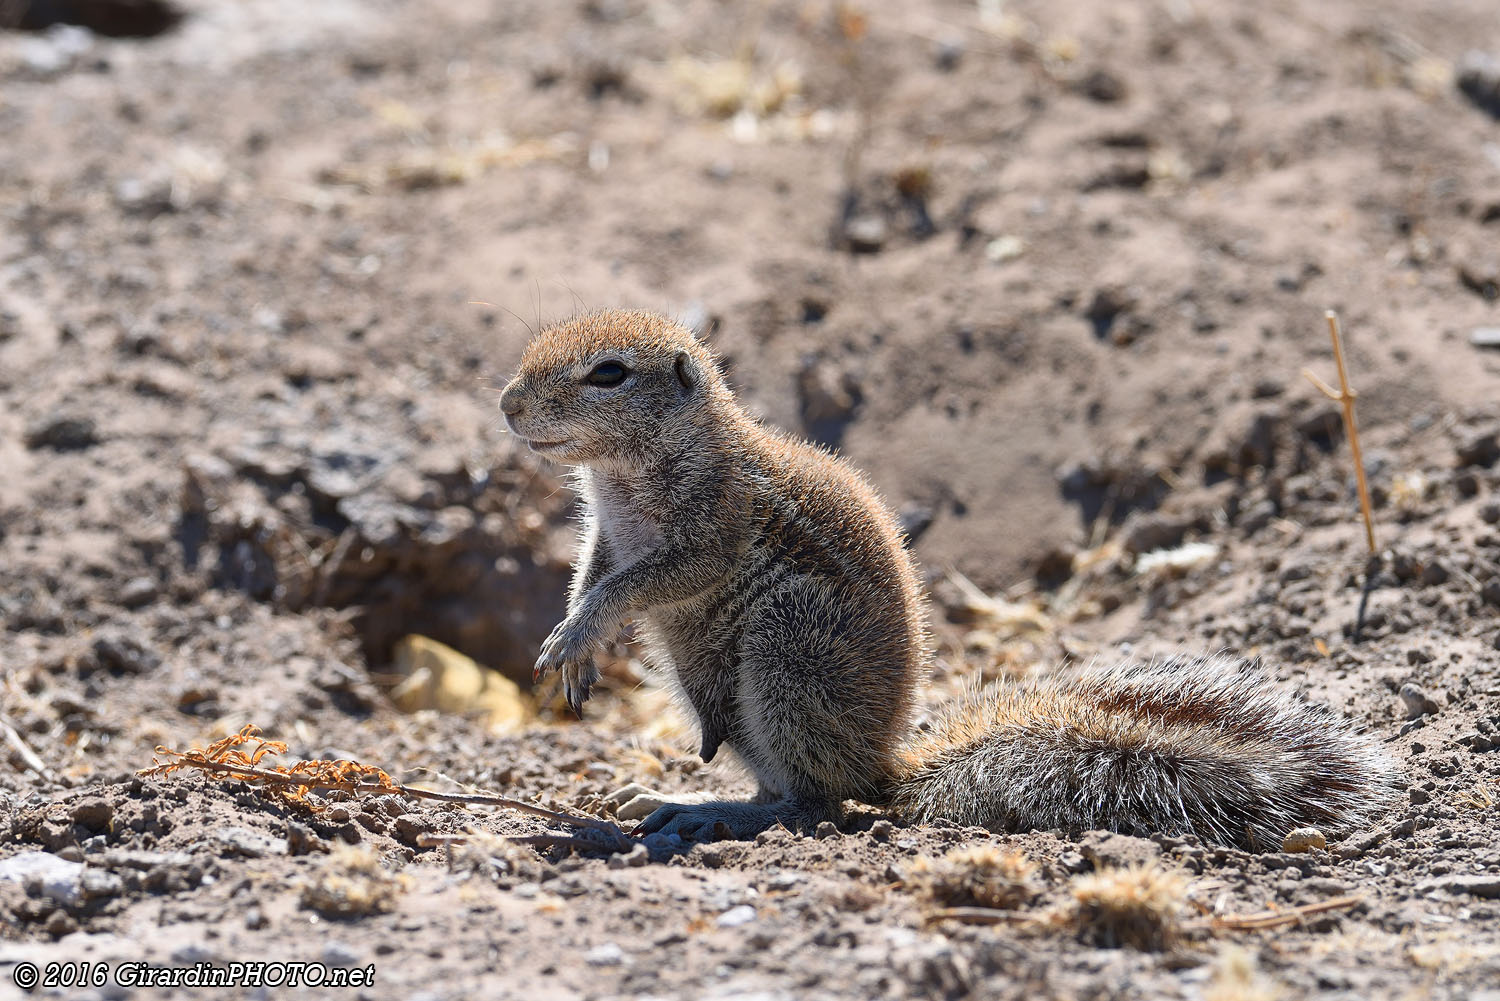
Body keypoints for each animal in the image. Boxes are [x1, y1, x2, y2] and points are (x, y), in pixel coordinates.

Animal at [498, 310, 1398, 846]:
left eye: (608, 373)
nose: (507, 404)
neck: (624, 474)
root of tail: (884, 763)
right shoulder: (606, 532)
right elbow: (594, 570)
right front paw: (573, 627)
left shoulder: (715, 524)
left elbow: (649, 579)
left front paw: (581, 631)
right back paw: (668, 800)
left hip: (789, 649)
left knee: (814, 802)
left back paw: (703, 813)